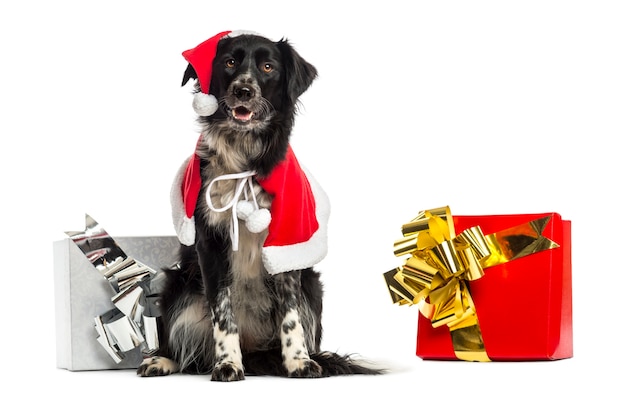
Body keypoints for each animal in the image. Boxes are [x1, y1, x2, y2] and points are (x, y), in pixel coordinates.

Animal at [137, 31, 380, 380]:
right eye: (229, 62)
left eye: (268, 67)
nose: (244, 90)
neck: (244, 153)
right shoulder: (209, 243)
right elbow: (223, 313)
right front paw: (227, 362)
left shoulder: (288, 242)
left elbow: (291, 315)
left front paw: (298, 361)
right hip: (177, 284)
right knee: (186, 351)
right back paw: (163, 360)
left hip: (312, 285)